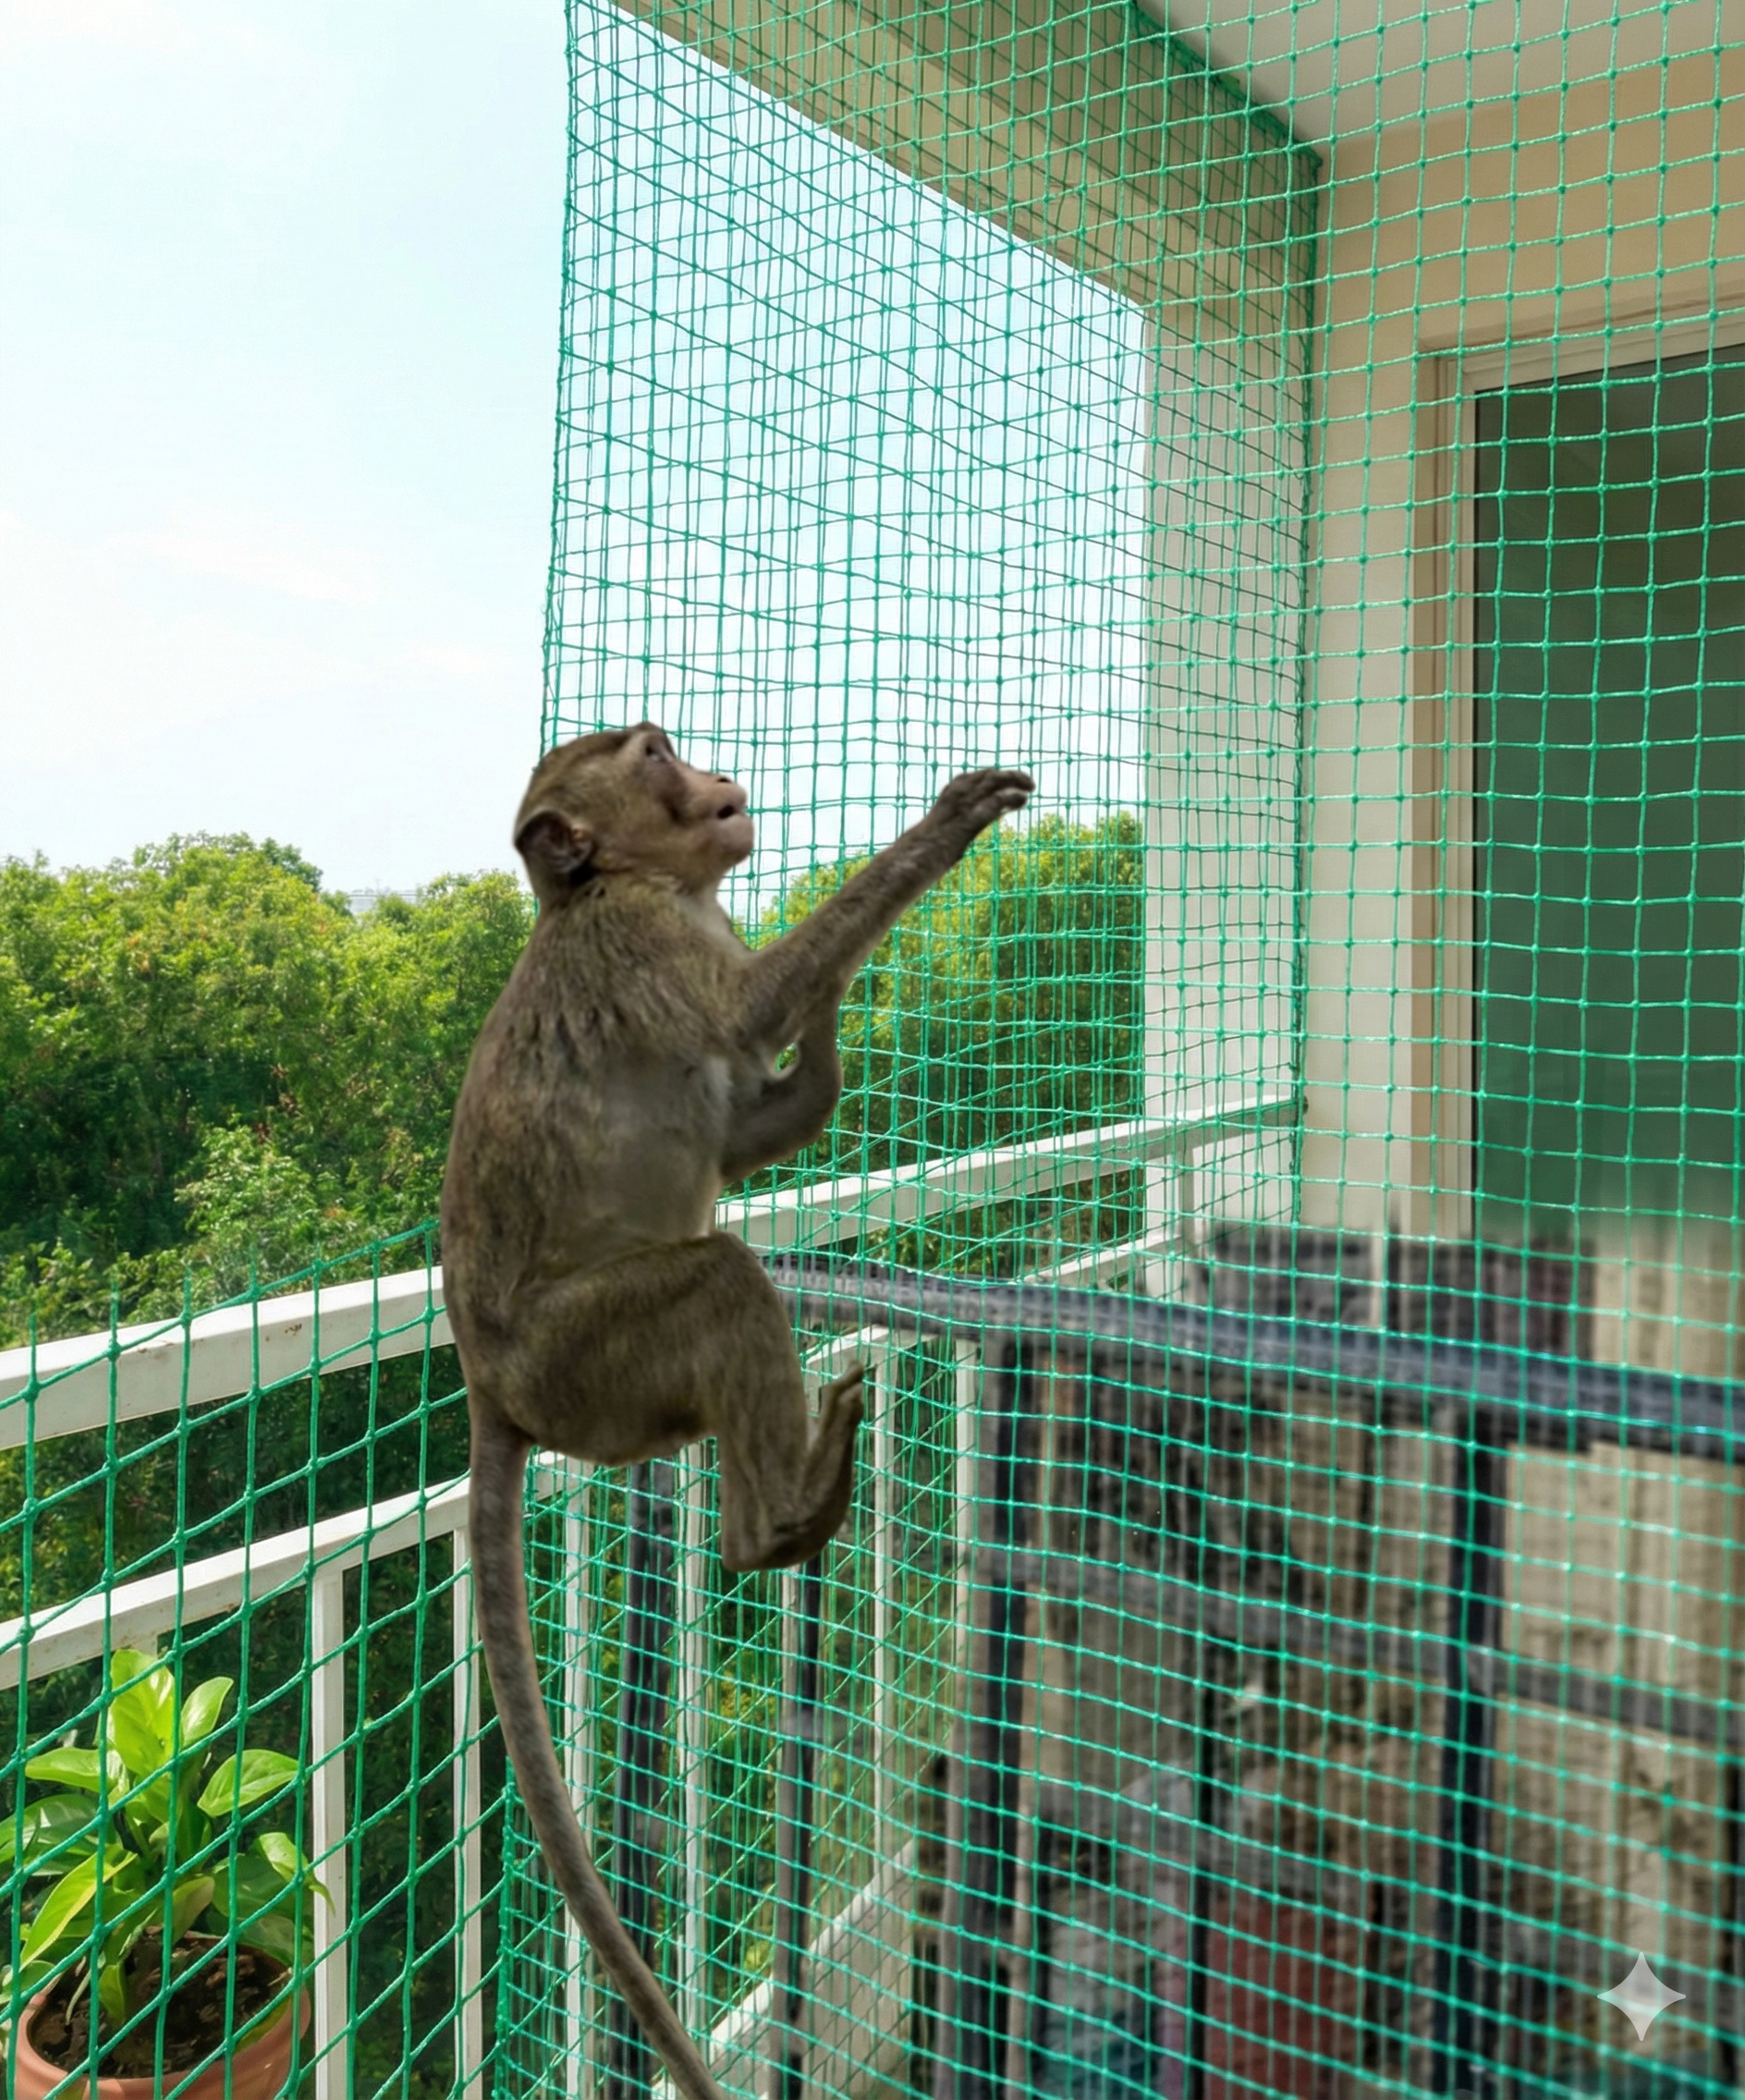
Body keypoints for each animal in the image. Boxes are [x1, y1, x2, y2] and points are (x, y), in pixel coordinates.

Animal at [440, 724, 1034, 2100]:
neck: (625, 885)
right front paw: (939, 834)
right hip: (581, 1356)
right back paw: (782, 1519)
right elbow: (745, 1010)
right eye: (654, 753)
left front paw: (829, 1033)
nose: (717, 782)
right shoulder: (651, 944)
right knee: (717, 1278)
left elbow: (756, 1123)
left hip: (599, 1388)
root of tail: (491, 1383)